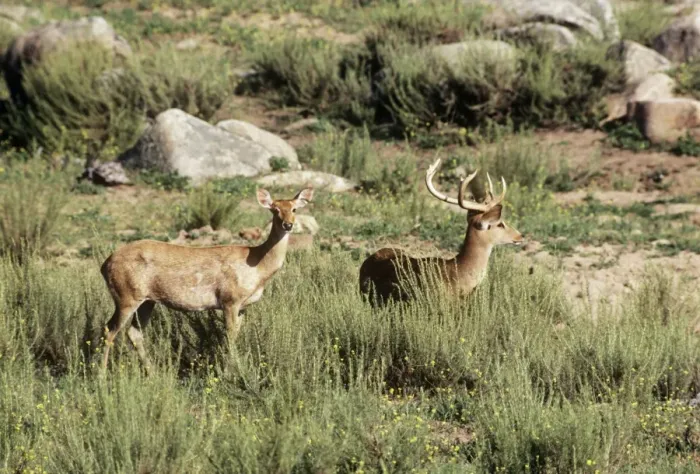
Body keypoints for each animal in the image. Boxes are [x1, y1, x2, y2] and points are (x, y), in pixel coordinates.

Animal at [100, 187, 314, 373]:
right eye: (274, 209)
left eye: (294, 209)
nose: (288, 224)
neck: (257, 266)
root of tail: (105, 265)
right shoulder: (230, 299)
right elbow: (229, 336)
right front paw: (230, 373)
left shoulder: (242, 306)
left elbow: (235, 335)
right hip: (126, 295)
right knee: (109, 329)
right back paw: (101, 377)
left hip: (147, 300)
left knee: (134, 333)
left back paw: (152, 373)